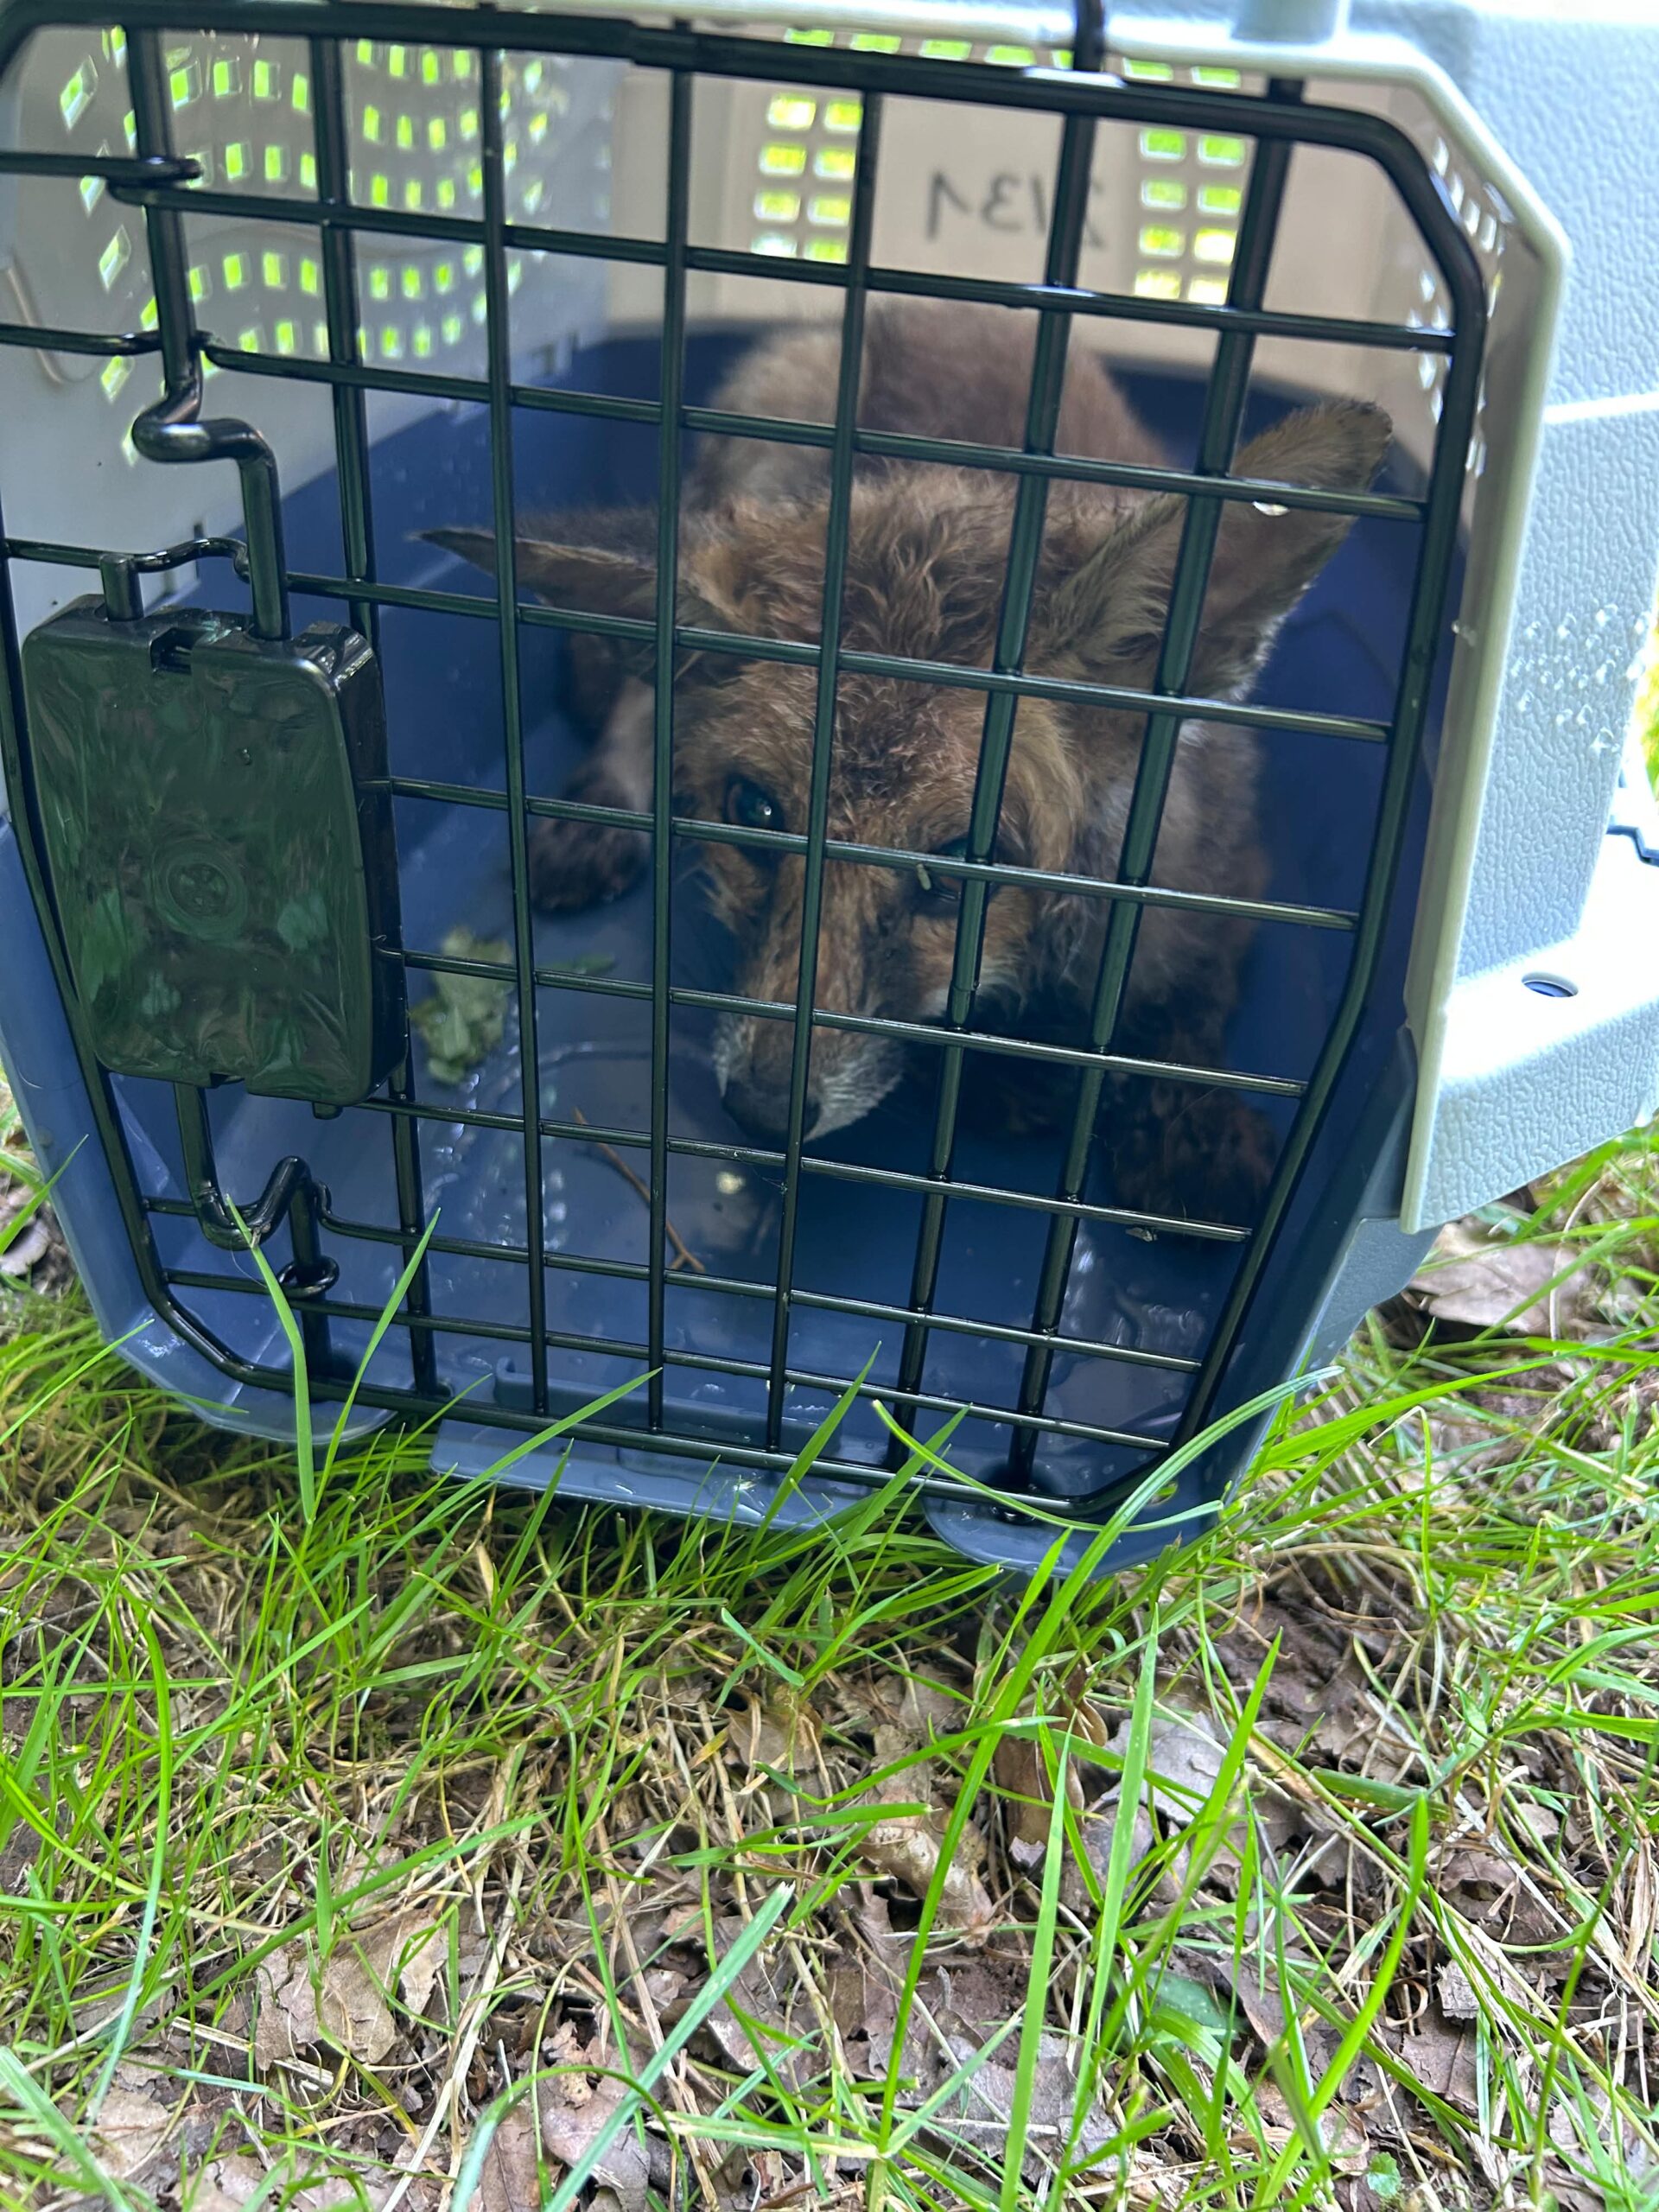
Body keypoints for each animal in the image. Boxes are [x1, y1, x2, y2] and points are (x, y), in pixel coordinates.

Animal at [430, 299, 1389, 1220]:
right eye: (754, 810)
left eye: (963, 862)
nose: (762, 1112)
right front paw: (1010, 1079)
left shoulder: (1222, 881)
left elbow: (1187, 1008)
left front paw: (1191, 1122)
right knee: (640, 697)